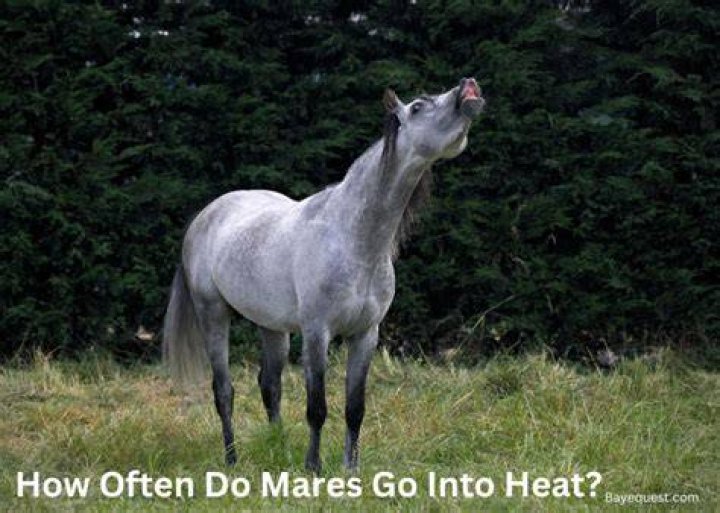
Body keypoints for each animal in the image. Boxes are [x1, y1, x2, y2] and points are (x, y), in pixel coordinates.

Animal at [162, 78, 485, 471]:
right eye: (418, 107)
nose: (468, 88)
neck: (351, 238)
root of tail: (204, 216)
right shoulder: (317, 333)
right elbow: (316, 408)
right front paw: (313, 468)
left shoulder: (365, 335)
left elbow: (354, 408)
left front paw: (351, 468)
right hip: (213, 315)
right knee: (224, 391)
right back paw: (232, 459)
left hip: (272, 327)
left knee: (270, 386)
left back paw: (280, 450)